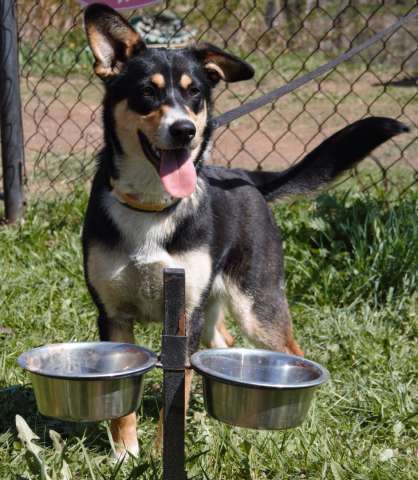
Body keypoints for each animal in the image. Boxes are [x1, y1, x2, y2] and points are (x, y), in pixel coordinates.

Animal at [81, 3, 408, 460]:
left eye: (195, 93)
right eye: (148, 91)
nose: (186, 131)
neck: (152, 206)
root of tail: (248, 179)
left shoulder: (183, 315)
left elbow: (175, 394)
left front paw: (163, 452)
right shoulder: (113, 316)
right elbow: (126, 403)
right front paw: (125, 453)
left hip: (258, 304)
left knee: (294, 352)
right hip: (214, 306)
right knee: (223, 341)